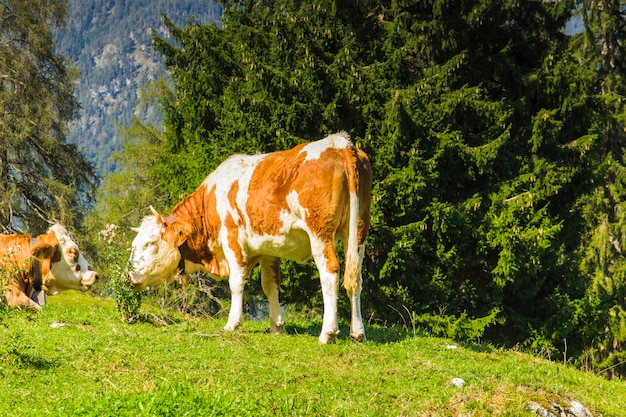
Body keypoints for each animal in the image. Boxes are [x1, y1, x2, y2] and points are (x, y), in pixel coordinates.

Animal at [129, 132, 368, 342]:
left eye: (150, 243)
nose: (130, 275)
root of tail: (339, 143)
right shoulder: (269, 247)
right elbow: (270, 285)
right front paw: (277, 326)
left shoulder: (231, 238)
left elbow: (236, 283)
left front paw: (232, 323)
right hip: (358, 231)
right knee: (355, 277)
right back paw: (357, 332)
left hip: (319, 232)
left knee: (330, 273)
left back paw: (327, 332)